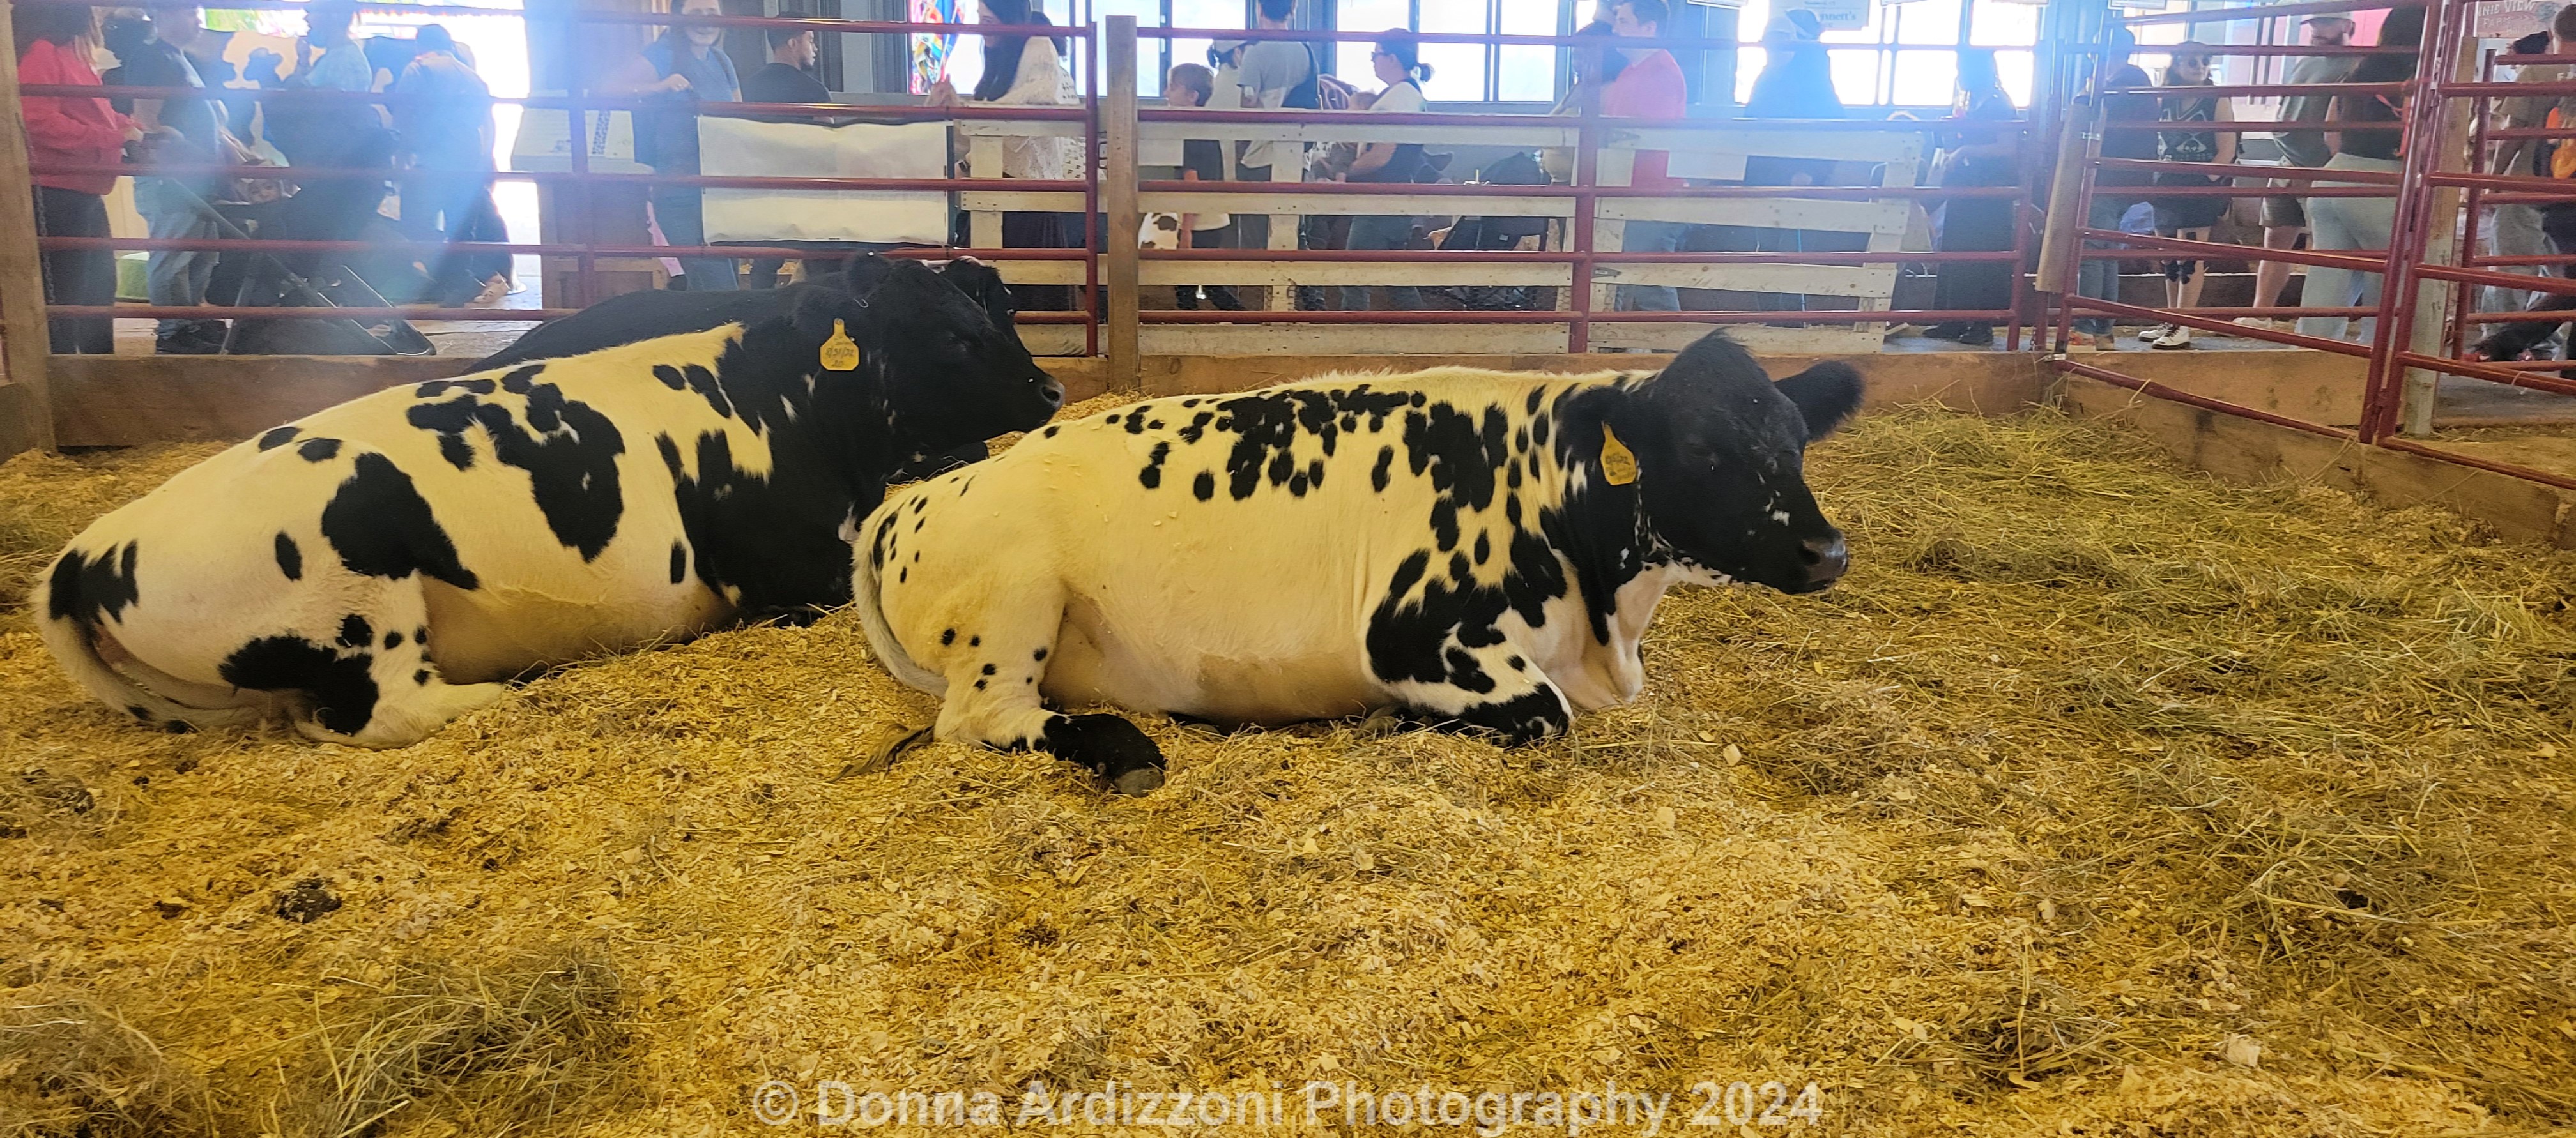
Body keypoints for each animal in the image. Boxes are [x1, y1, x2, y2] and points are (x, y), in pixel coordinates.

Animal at [39, 260, 1064, 747]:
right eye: (951, 335)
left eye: (991, 311)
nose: (1053, 389)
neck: (785, 402)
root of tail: (92, 547)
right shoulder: (787, 580)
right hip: (359, 602)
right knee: (386, 709)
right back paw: (511, 685)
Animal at [851, 331, 1863, 795]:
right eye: (1701, 450)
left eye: (1797, 440)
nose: (1829, 550)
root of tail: (910, 497)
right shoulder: (1418, 637)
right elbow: (1546, 713)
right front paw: (1392, 725)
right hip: (1015, 601)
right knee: (982, 719)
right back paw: (1124, 748)